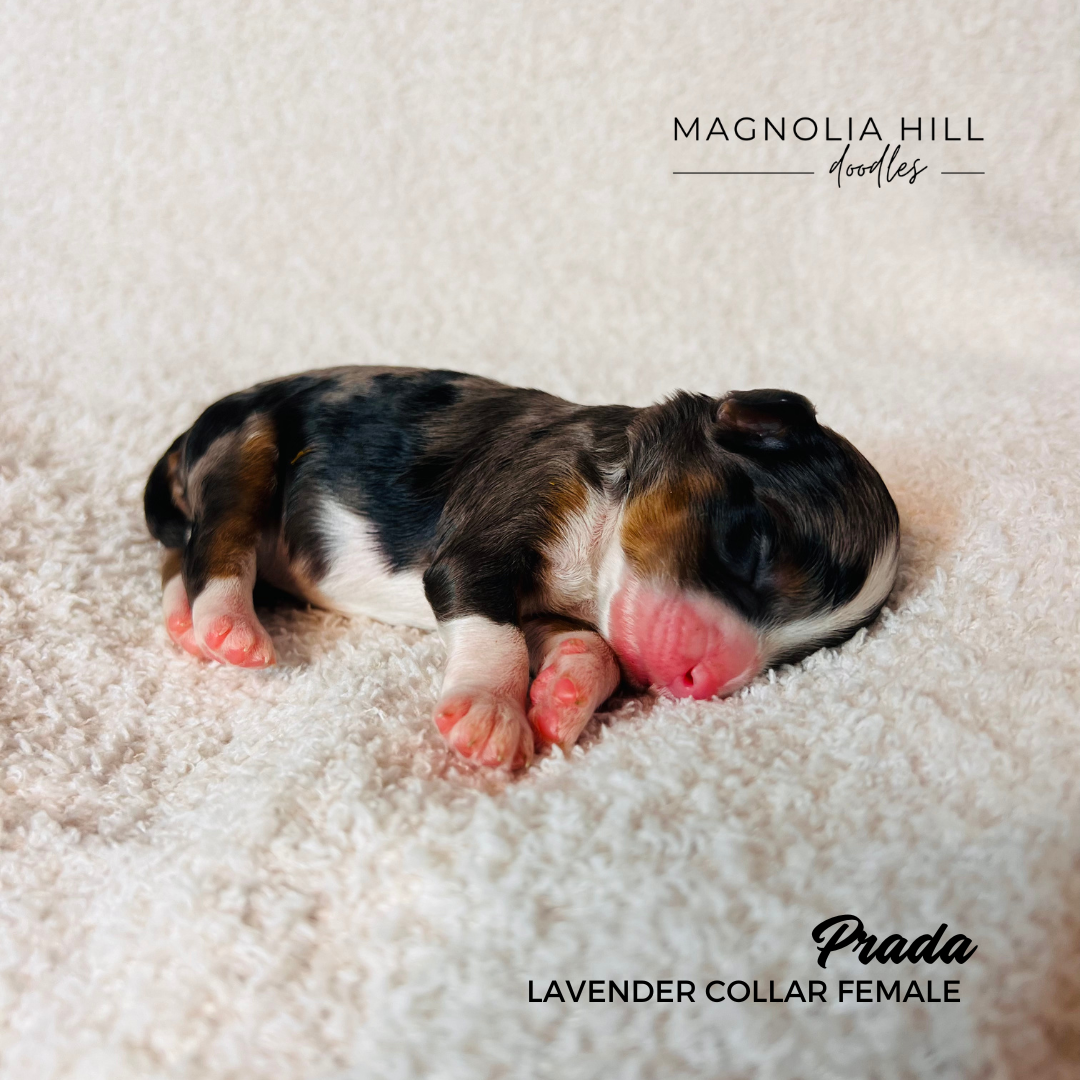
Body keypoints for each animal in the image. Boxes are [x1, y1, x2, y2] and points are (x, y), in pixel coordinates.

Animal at [145, 367, 900, 769]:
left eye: (798, 656)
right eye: (751, 543)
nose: (704, 682)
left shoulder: (547, 603)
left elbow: (590, 647)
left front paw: (563, 695)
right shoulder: (490, 533)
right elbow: (494, 634)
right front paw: (489, 714)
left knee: (179, 554)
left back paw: (186, 624)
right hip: (249, 446)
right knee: (220, 542)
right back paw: (228, 627)